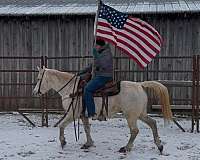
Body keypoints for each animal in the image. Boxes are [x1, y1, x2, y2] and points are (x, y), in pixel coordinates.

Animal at [32, 66, 172, 154]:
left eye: (39, 79)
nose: (34, 92)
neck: (72, 89)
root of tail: (140, 85)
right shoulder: (83, 115)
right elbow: (87, 129)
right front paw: (88, 143)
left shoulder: (73, 114)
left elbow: (61, 125)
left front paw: (63, 142)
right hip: (140, 114)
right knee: (153, 123)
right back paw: (159, 146)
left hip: (131, 116)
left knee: (134, 131)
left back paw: (126, 148)